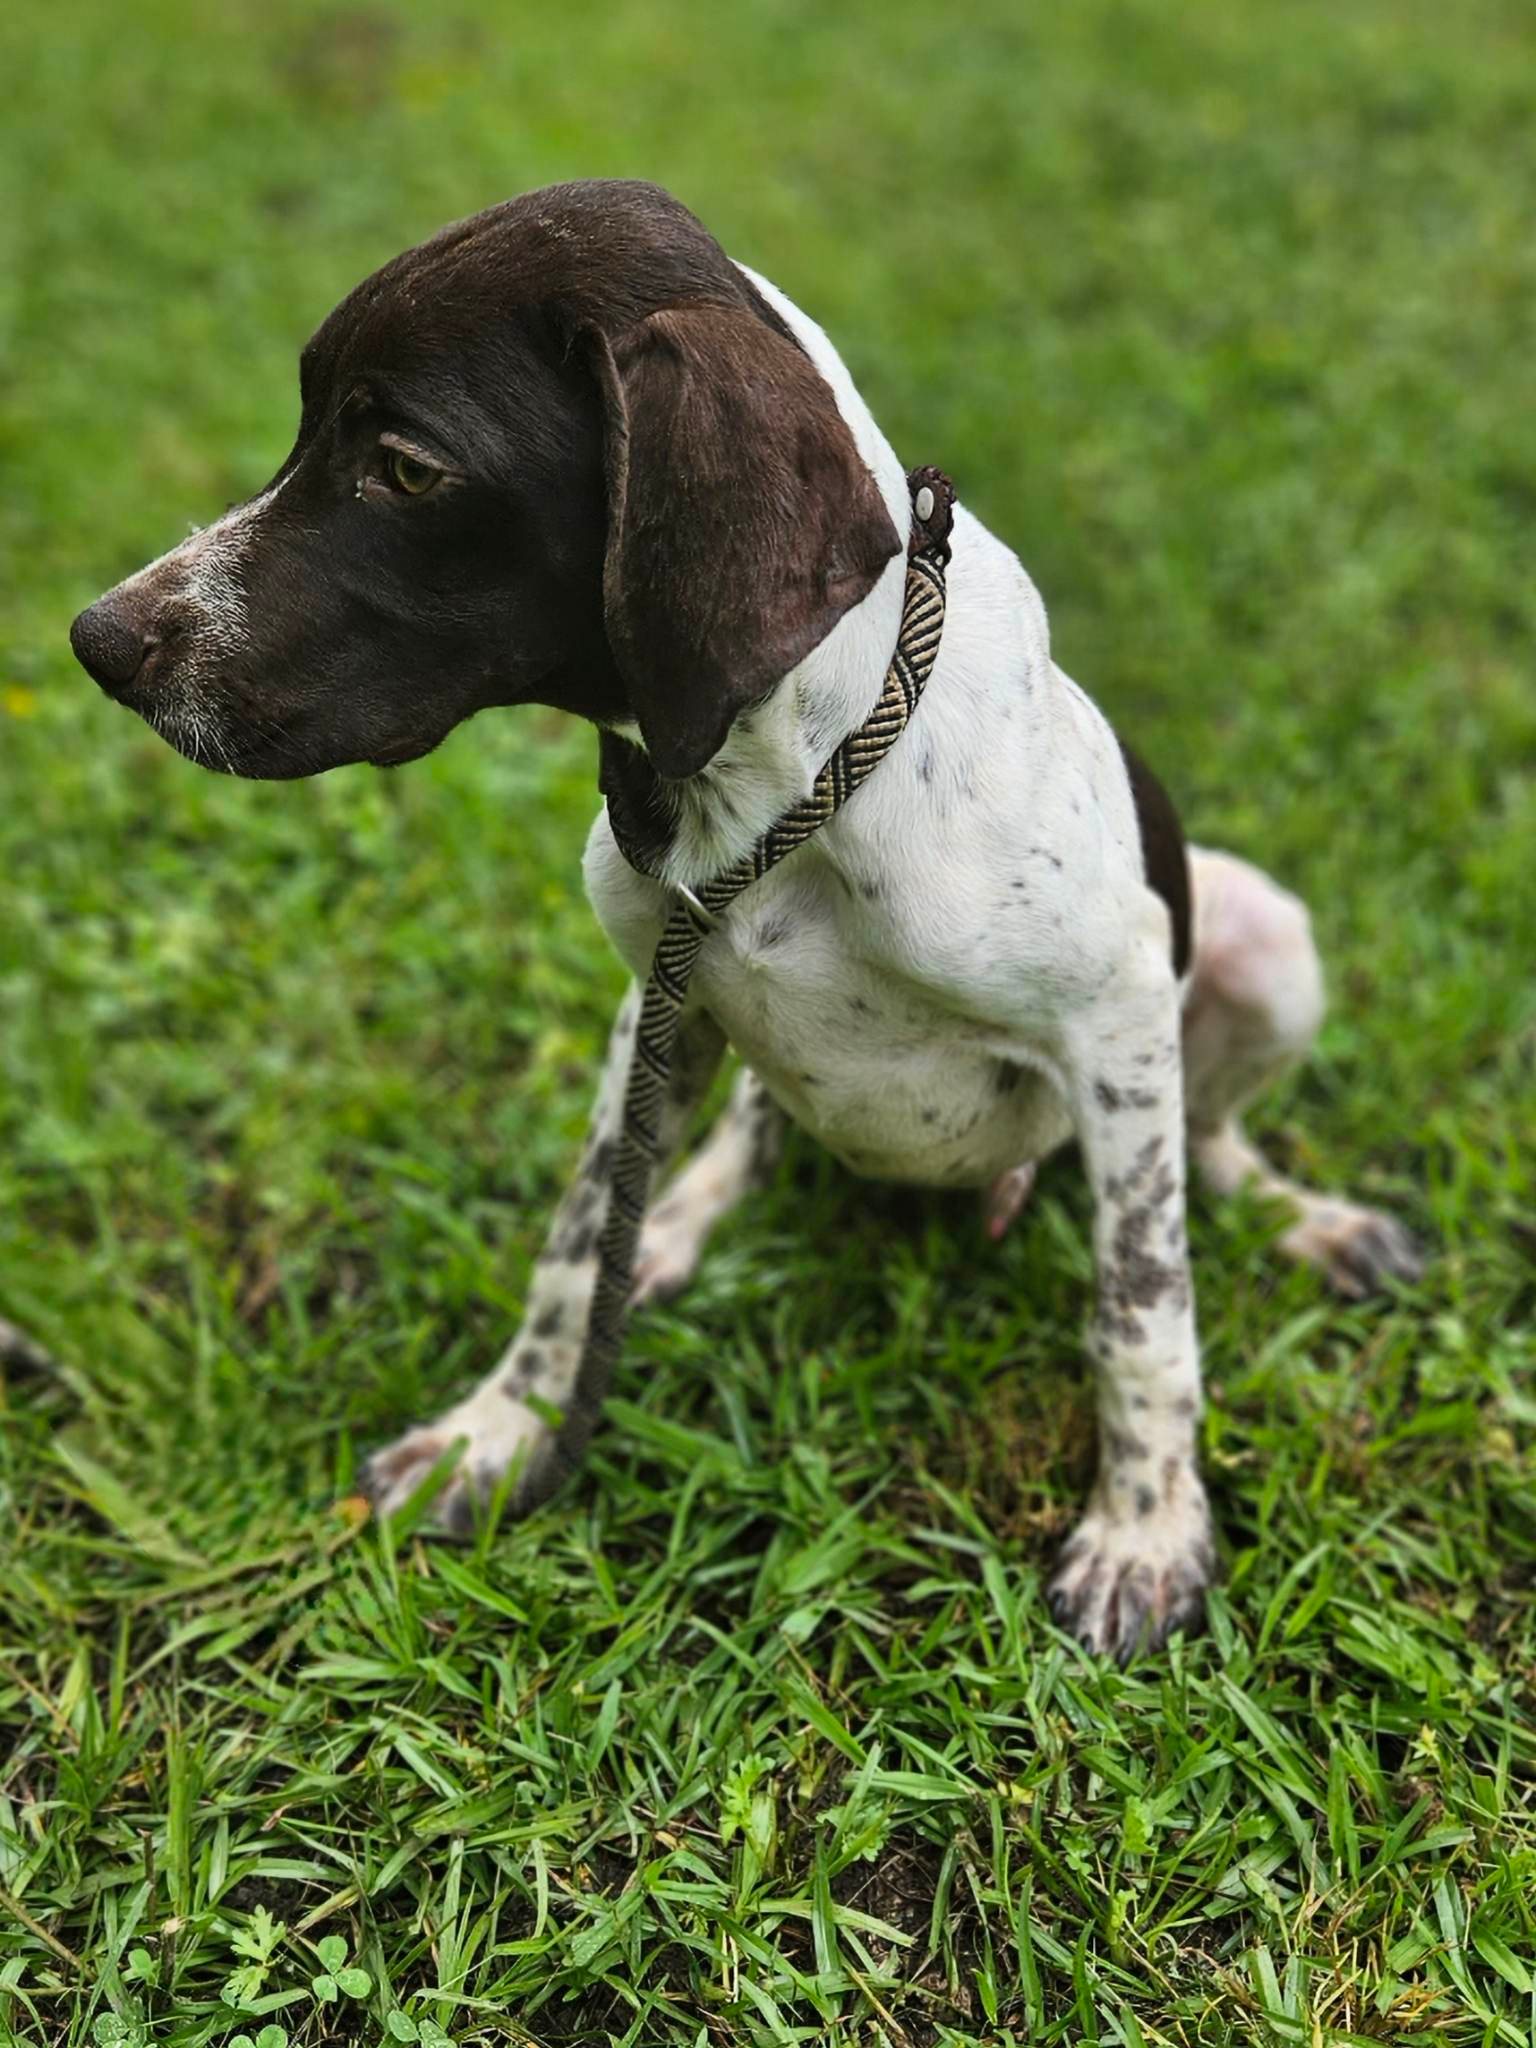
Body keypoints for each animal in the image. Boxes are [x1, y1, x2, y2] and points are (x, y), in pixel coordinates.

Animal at [69, 180, 1417, 1662]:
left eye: (407, 470)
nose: (98, 641)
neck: (787, 781)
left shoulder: (1116, 1020)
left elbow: (1143, 1304)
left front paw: (1146, 1531)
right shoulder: (650, 989)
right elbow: (570, 1250)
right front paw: (499, 1429)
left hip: (1261, 939)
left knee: (1209, 1142)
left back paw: (1308, 1220)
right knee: (743, 1136)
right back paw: (673, 1225)